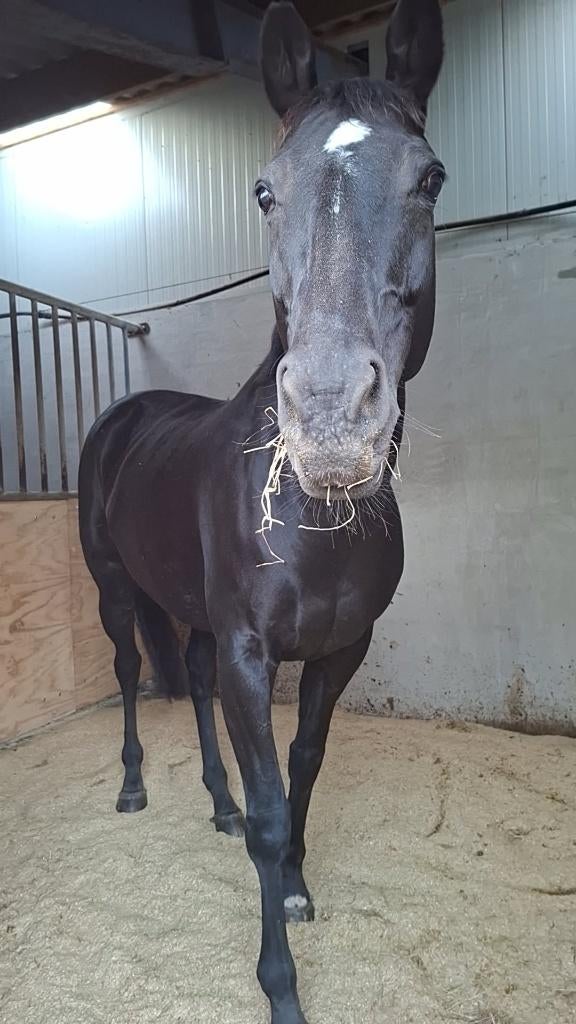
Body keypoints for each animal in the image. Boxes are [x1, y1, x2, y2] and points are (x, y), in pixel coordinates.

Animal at [78, 1, 445, 1020]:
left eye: (430, 177)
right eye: (264, 191)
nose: (330, 417)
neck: (312, 525)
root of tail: (124, 416)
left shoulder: (337, 650)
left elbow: (305, 765)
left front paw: (294, 887)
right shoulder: (253, 653)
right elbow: (275, 803)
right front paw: (280, 986)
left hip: (195, 618)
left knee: (195, 686)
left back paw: (215, 804)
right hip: (114, 591)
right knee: (133, 672)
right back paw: (135, 790)